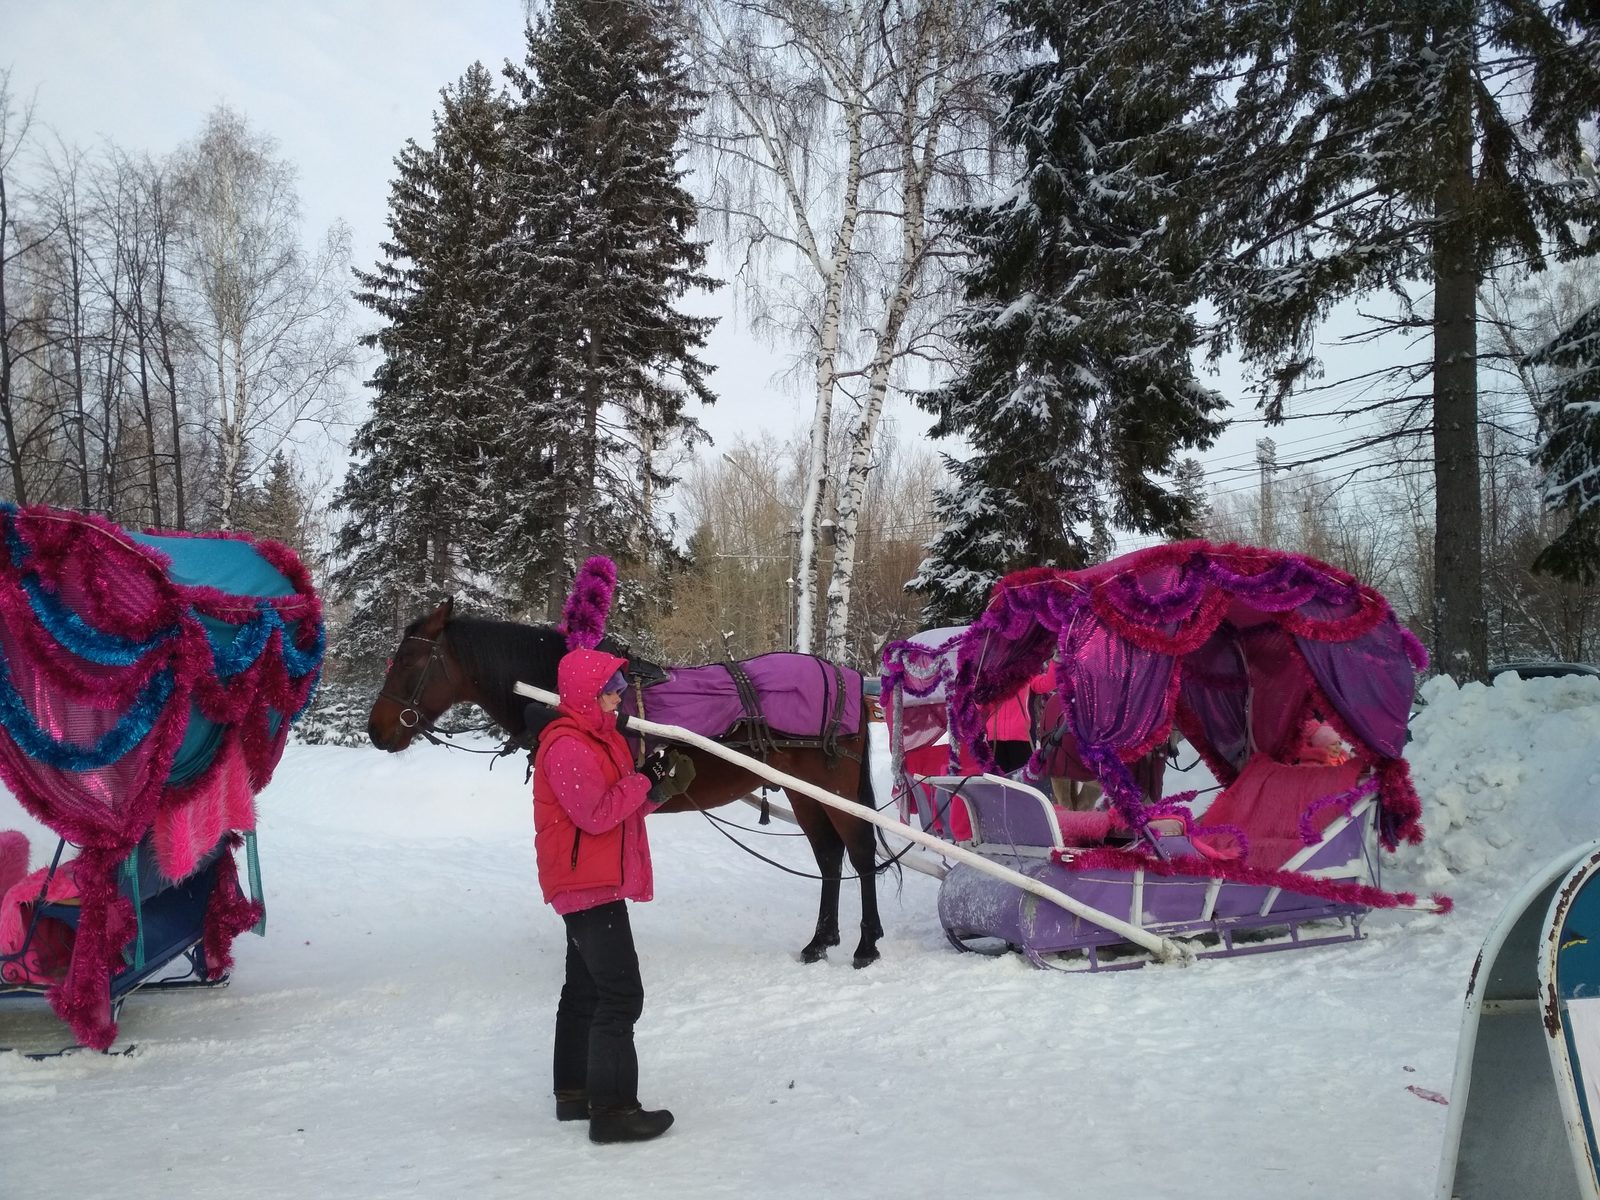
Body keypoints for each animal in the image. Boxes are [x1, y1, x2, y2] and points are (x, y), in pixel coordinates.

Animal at [366, 601, 889, 966]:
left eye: (409, 661)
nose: (376, 730)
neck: (555, 692)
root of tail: (847, 675)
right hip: (803, 792)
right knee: (829, 857)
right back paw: (821, 940)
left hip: (835, 790)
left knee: (861, 854)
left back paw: (866, 943)